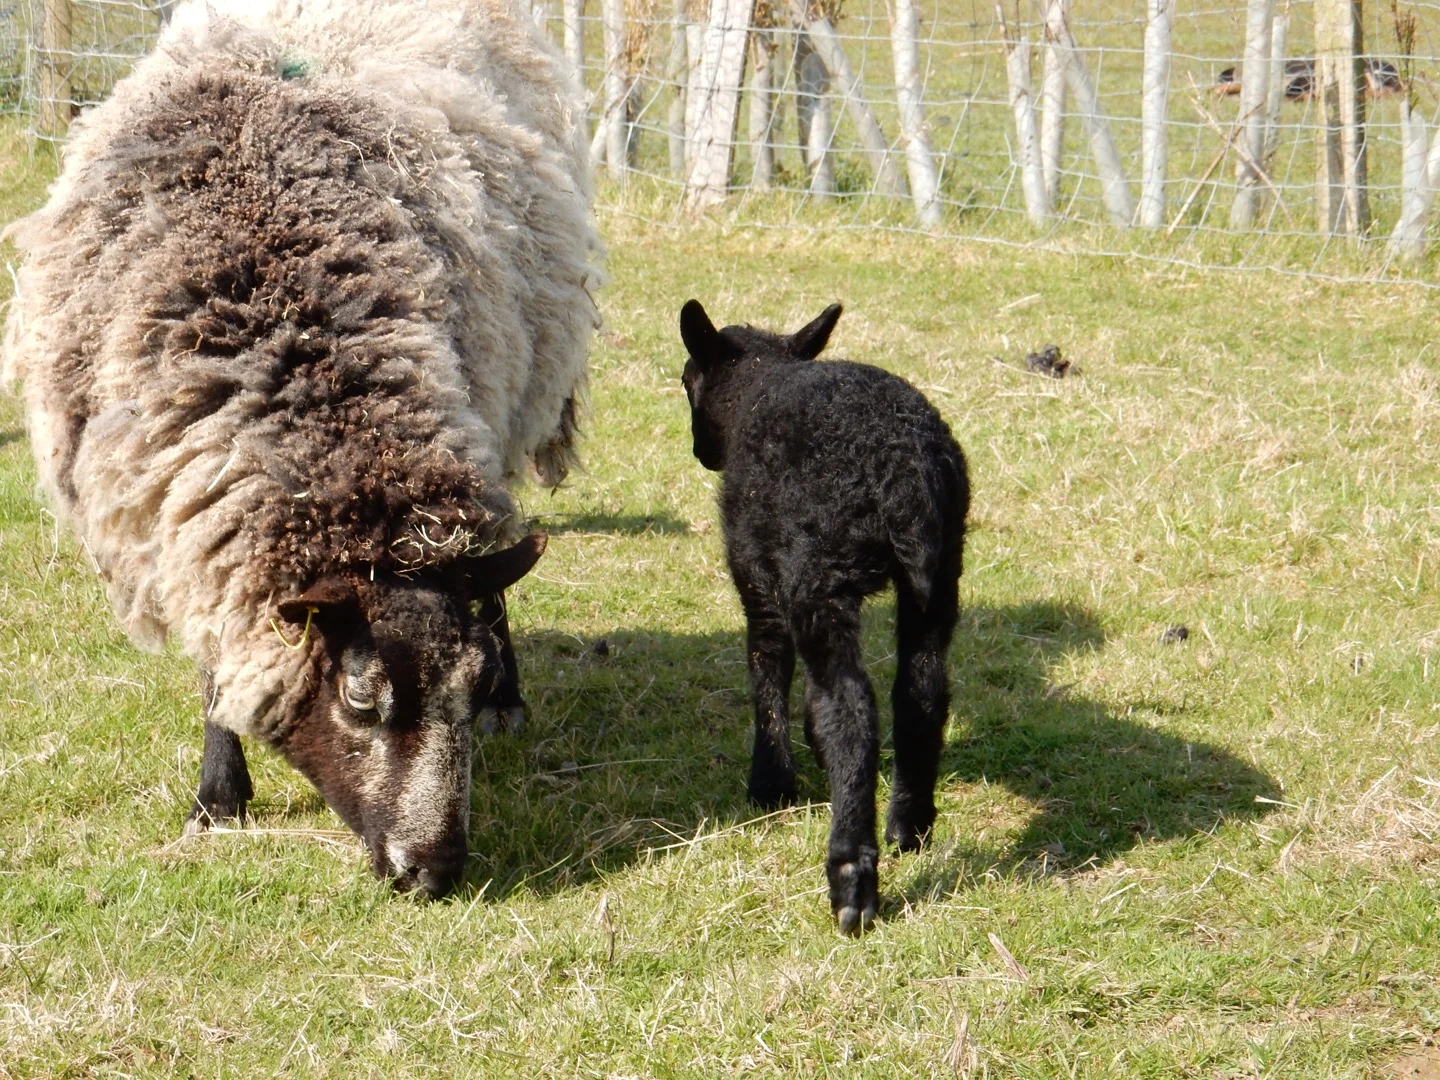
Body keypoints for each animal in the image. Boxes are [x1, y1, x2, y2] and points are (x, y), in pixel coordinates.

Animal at [1, 0, 600, 898]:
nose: (431, 873)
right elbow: (222, 660)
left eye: (467, 688)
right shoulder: (187, 512)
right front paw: (218, 797)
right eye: (358, 698)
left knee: (490, 570)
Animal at [679, 299, 969, 933]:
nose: (699, 452)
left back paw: (850, 881)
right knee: (921, 690)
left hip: (818, 569)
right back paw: (909, 826)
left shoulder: (759, 575)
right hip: (939, 572)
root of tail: (903, 470)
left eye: (687, 380)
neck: (760, 386)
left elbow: (767, 670)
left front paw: (770, 786)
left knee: (849, 706)